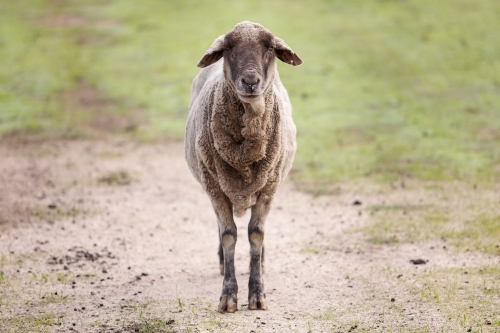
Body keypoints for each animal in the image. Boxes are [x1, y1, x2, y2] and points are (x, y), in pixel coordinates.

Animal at [184, 20, 300, 312]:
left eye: (270, 47)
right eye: (228, 48)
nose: (250, 82)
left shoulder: (268, 189)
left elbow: (256, 234)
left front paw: (257, 294)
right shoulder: (216, 189)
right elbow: (228, 235)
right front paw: (228, 296)